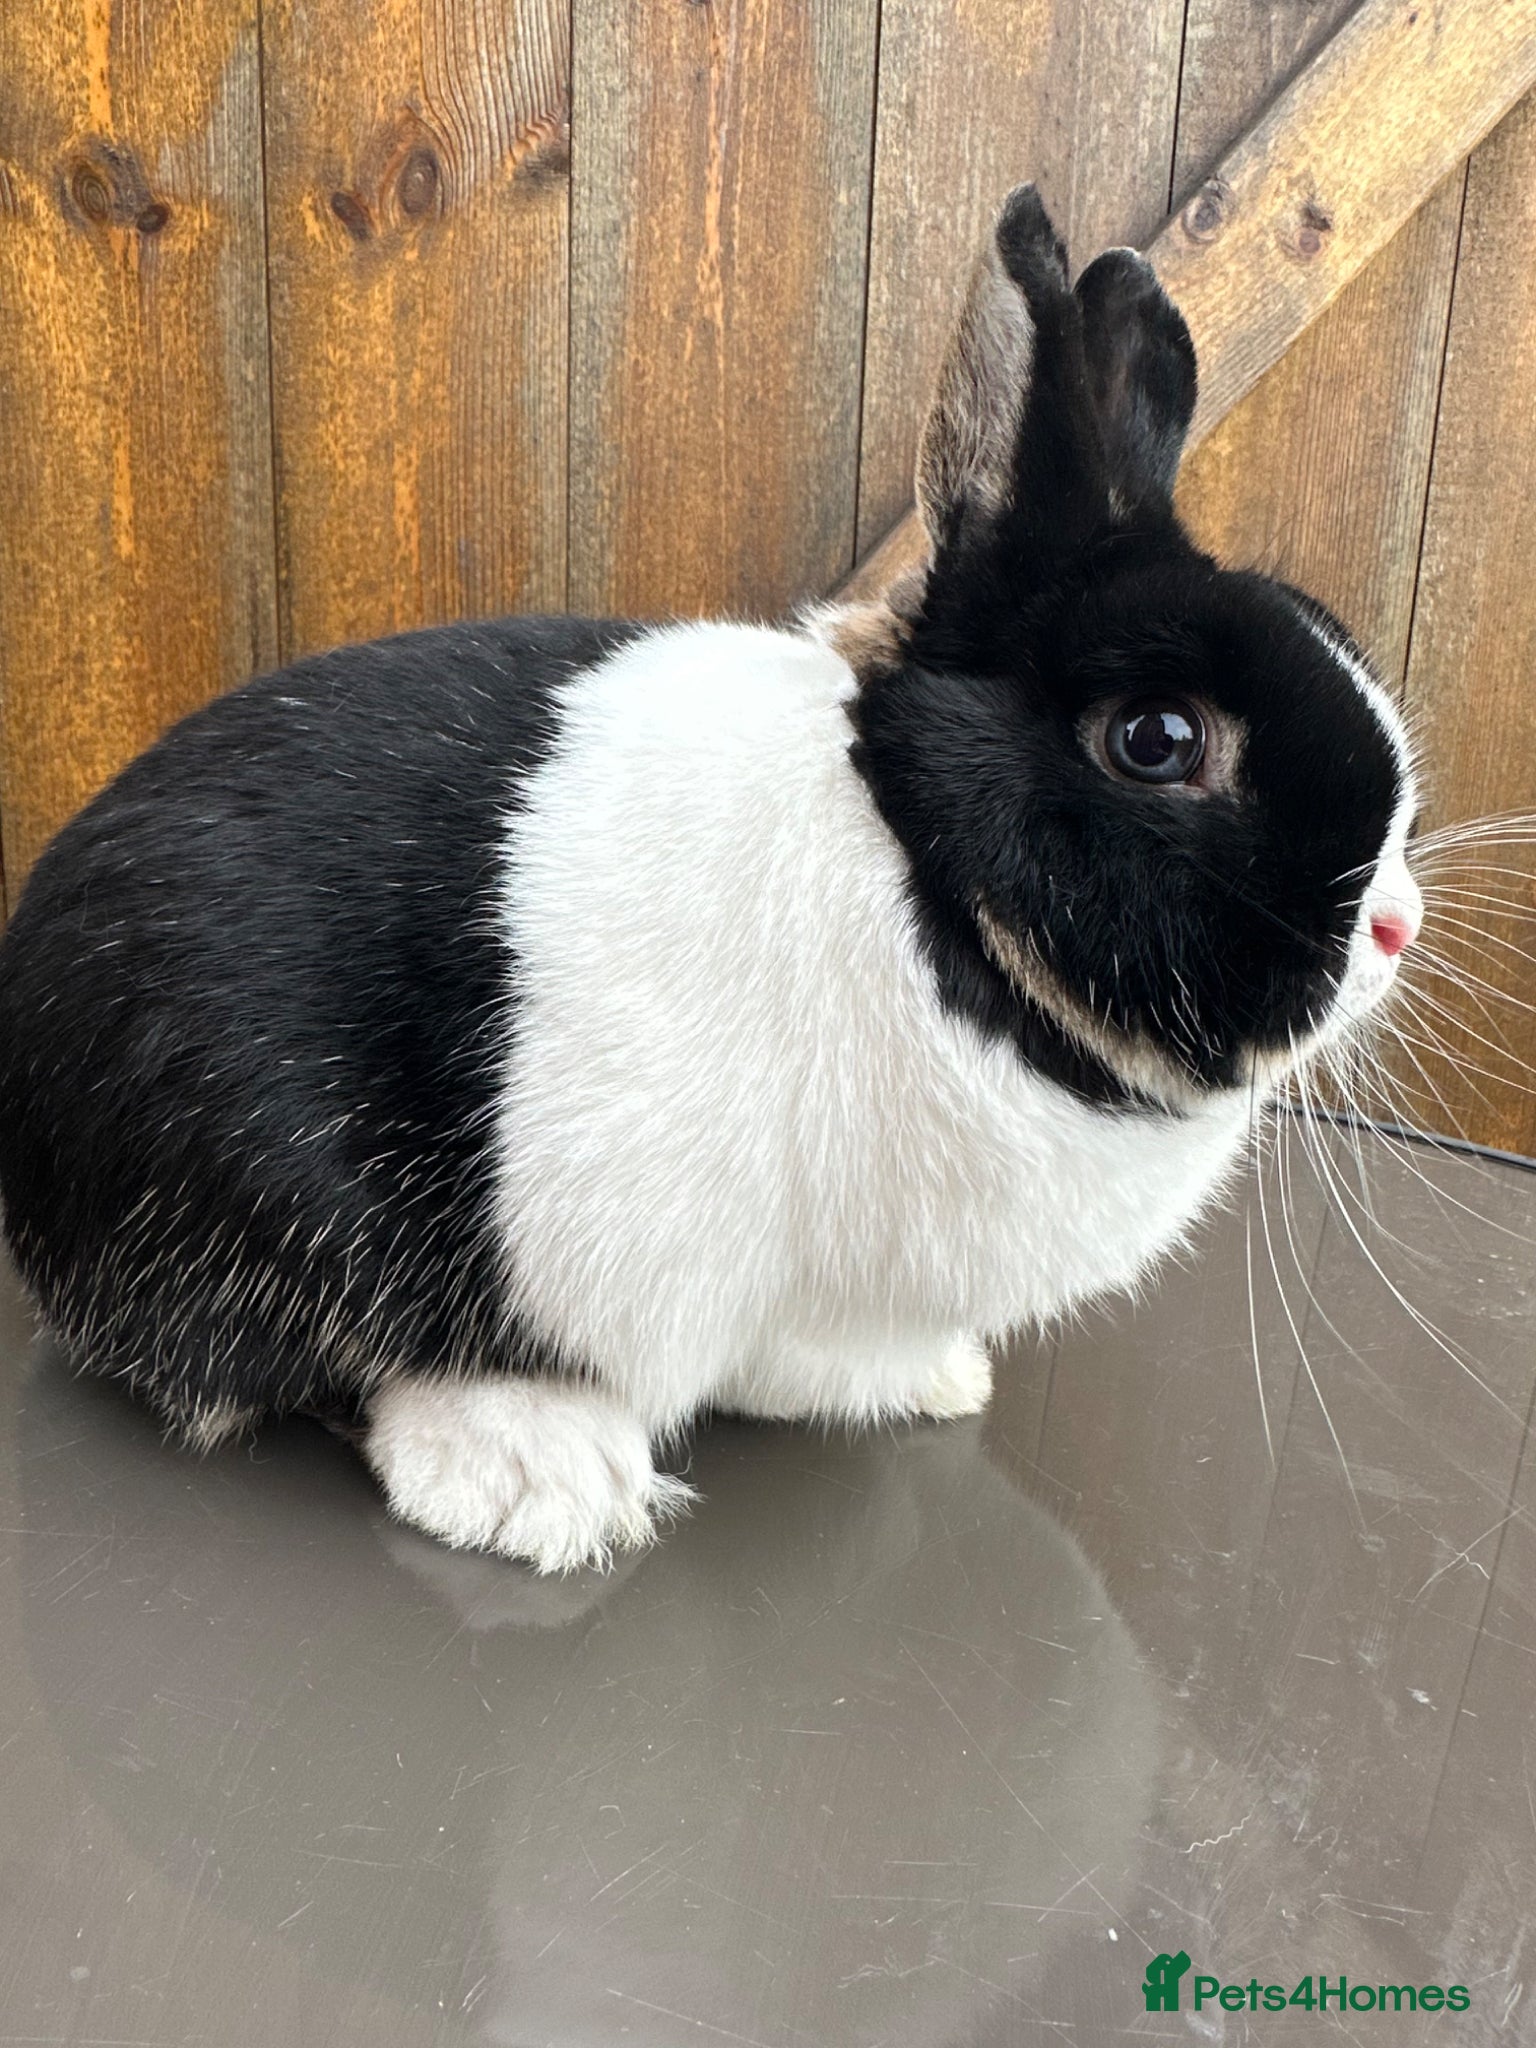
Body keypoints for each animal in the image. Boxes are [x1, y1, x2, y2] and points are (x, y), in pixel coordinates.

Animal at [0, 185, 1424, 1573]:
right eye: (1159, 739)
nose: (1397, 924)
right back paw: (541, 1476)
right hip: (267, 1166)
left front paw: (940, 1381)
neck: (920, 880)